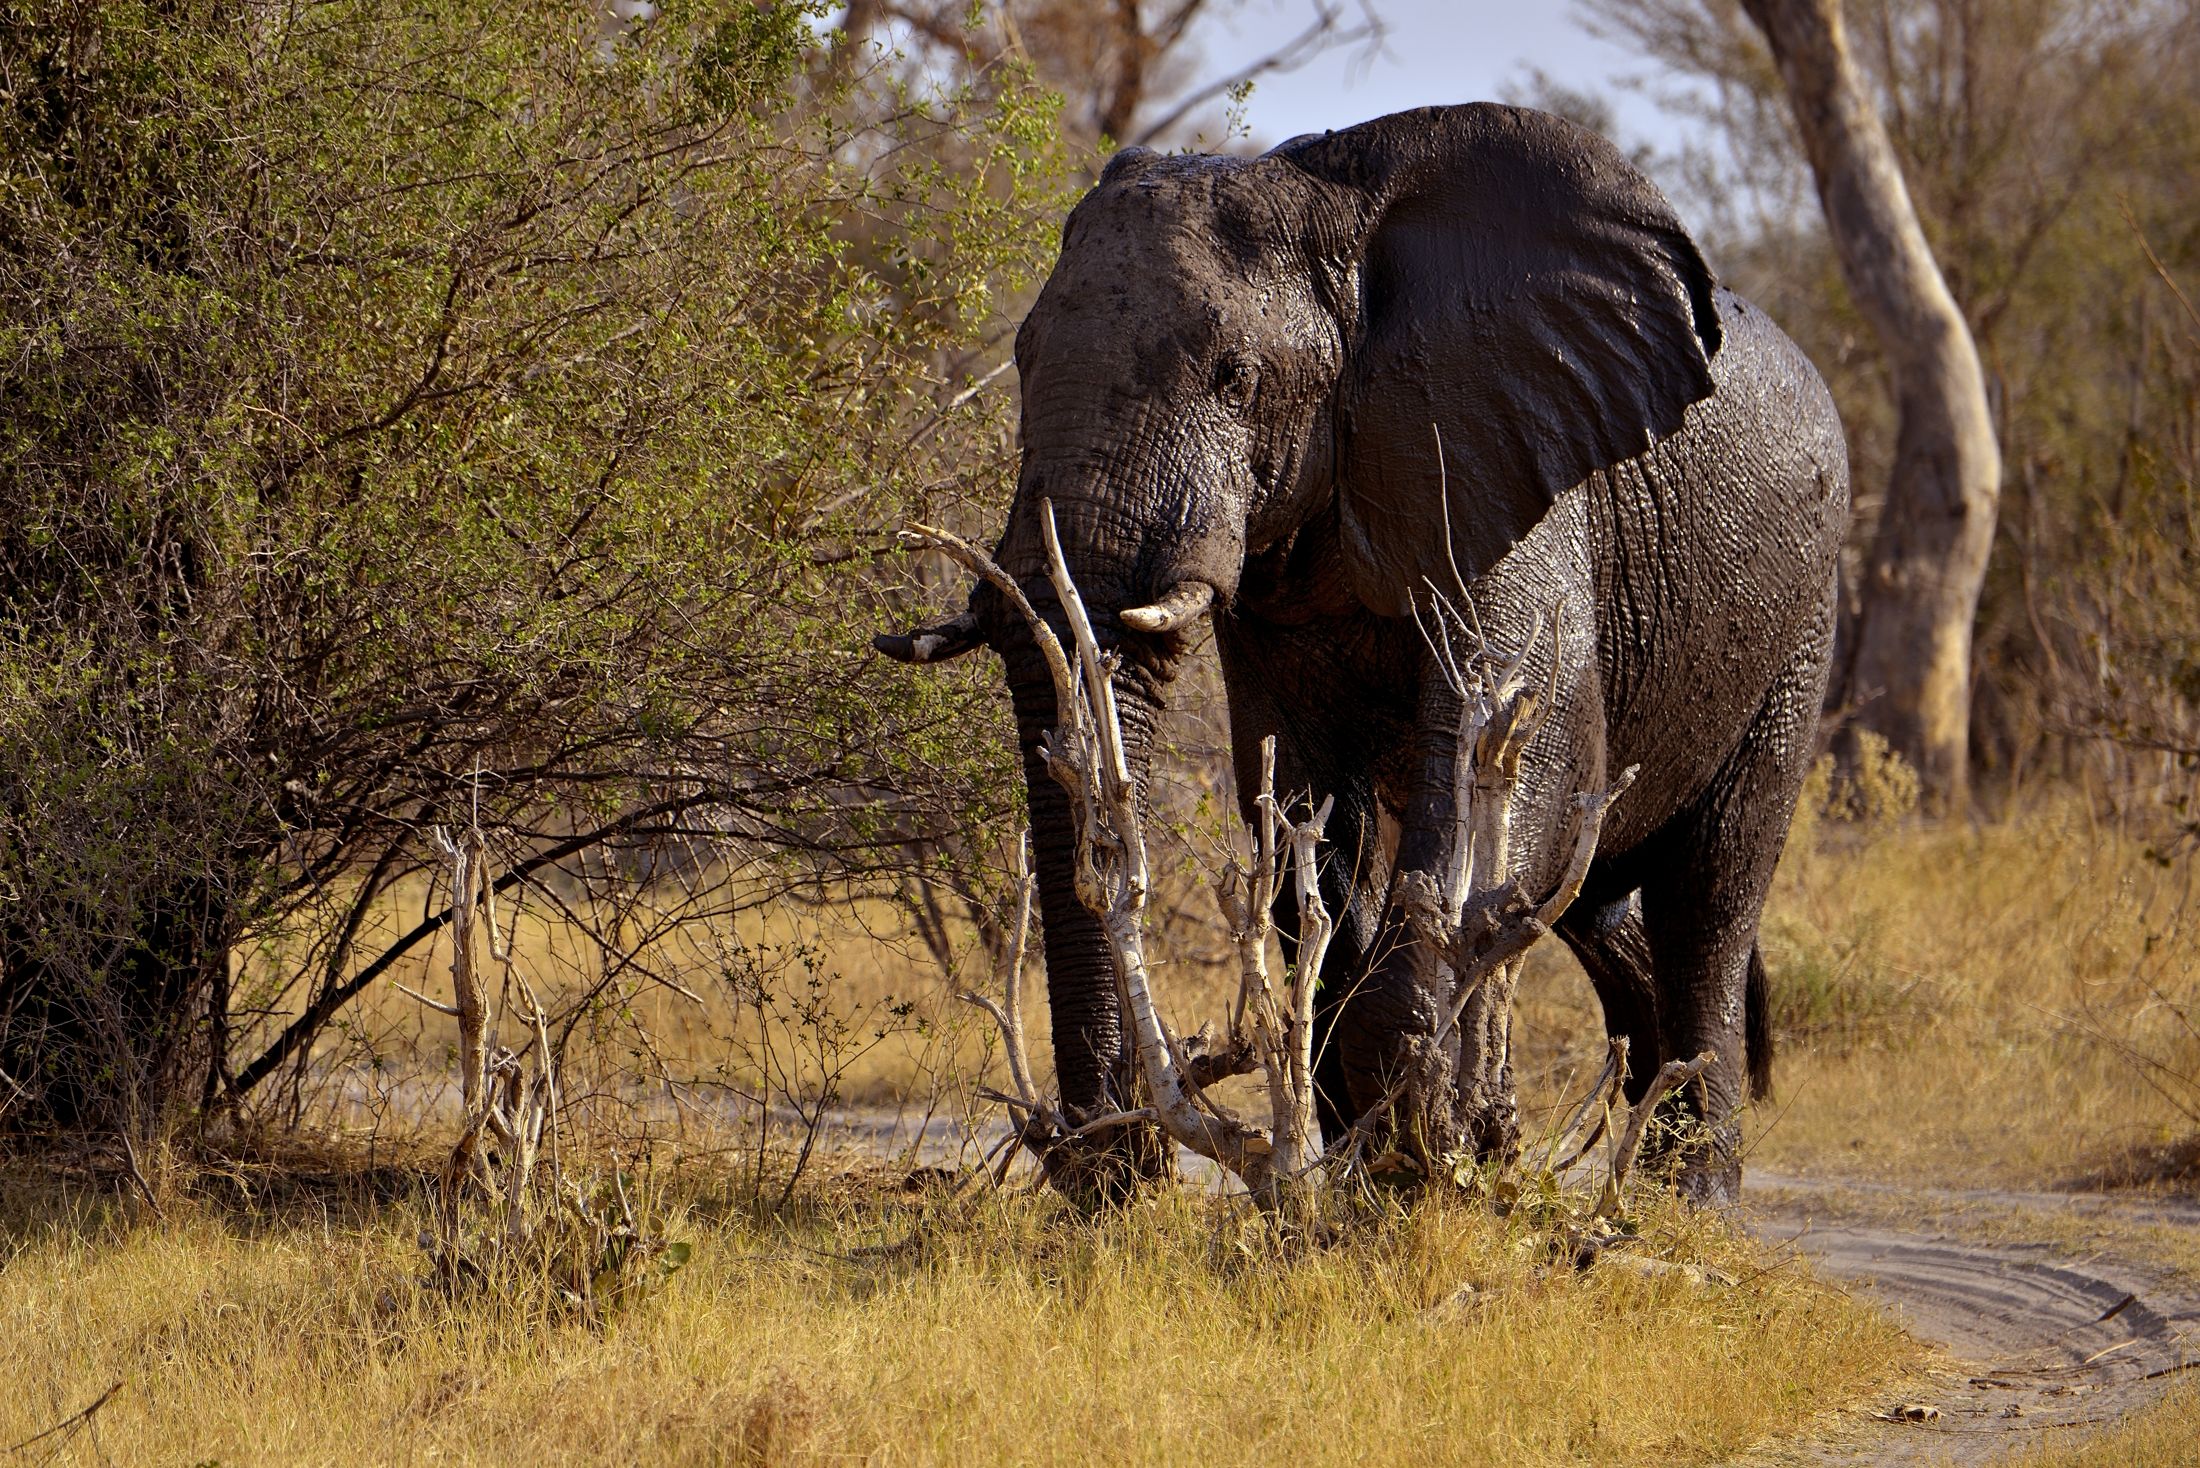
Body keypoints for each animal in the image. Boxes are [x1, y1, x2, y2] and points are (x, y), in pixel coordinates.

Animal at [877, 103, 1848, 1203]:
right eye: (1023, 353)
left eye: (1234, 376)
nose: (1119, 1169)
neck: (1330, 204)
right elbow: (1303, 818)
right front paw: (1370, 1161)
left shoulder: (1506, 478)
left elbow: (1516, 766)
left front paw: (1412, 1155)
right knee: (1596, 904)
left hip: (1801, 619)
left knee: (1708, 899)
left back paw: (1691, 1198)